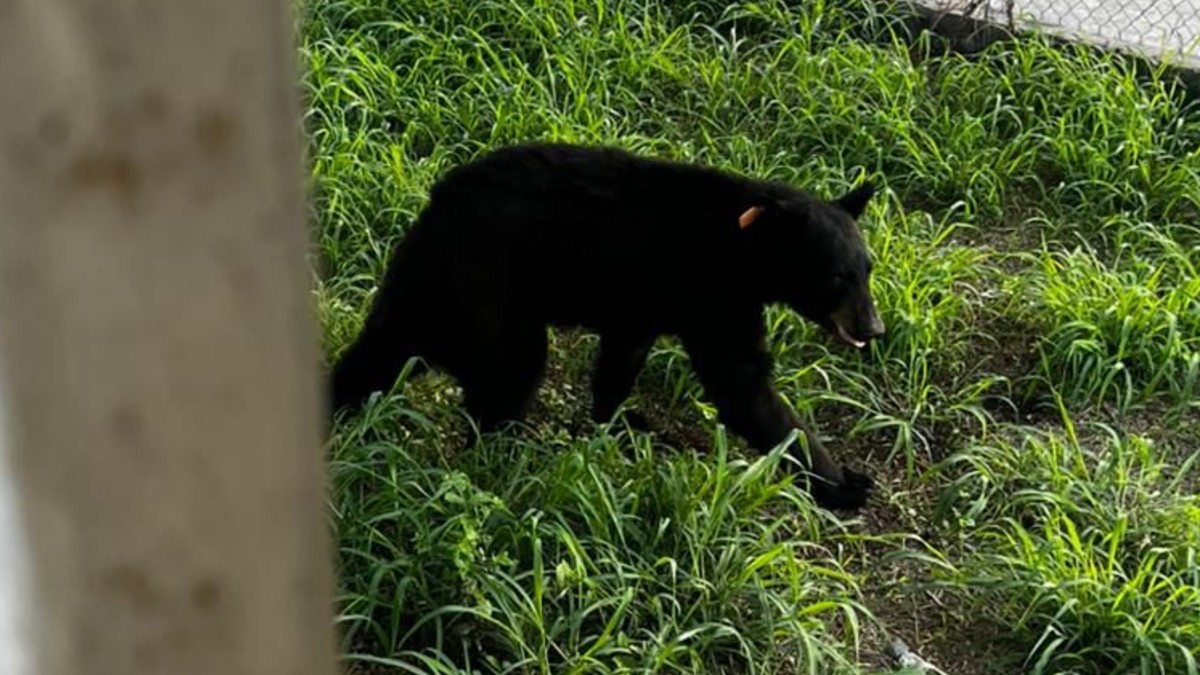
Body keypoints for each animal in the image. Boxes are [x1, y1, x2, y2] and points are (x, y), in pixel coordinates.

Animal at [329, 142, 886, 510]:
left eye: (868, 268)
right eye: (837, 277)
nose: (875, 327)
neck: (742, 245)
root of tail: (433, 213)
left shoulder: (643, 305)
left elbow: (622, 360)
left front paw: (615, 422)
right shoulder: (710, 295)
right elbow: (744, 386)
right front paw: (844, 483)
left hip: (421, 296)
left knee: (373, 356)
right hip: (487, 296)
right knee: (511, 373)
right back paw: (508, 456)